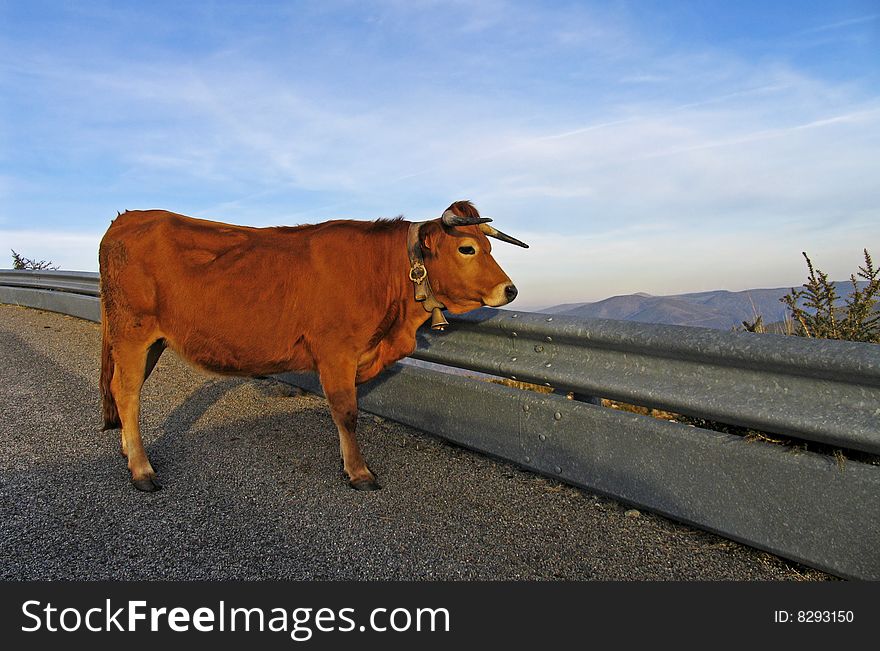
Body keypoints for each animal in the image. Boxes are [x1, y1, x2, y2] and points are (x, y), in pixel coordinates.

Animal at [99, 201, 524, 492]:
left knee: (122, 391)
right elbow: (347, 412)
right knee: (127, 392)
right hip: (133, 333)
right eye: (467, 248)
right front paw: (359, 472)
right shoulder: (336, 351)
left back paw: (128, 452)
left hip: (148, 342)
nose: (511, 290)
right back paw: (142, 470)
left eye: (489, 246)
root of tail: (125, 217)